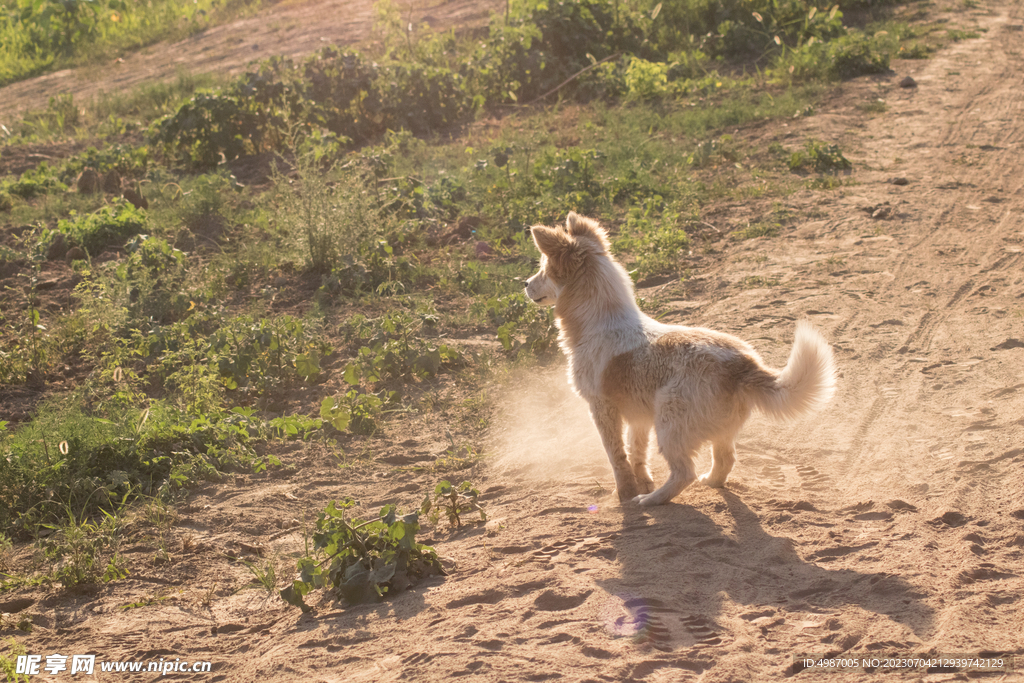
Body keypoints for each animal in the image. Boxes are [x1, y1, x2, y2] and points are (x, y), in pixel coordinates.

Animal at [524, 214, 835, 507]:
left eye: (543, 267)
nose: (525, 283)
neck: (602, 320)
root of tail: (743, 366)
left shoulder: (602, 408)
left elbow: (617, 457)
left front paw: (626, 494)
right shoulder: (639, 417)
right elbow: (637, 453)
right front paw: (642, 483)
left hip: (669, 424)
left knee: (684, 472)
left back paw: (652, 499)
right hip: (716, 429)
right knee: (725, 460)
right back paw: (707, 482)